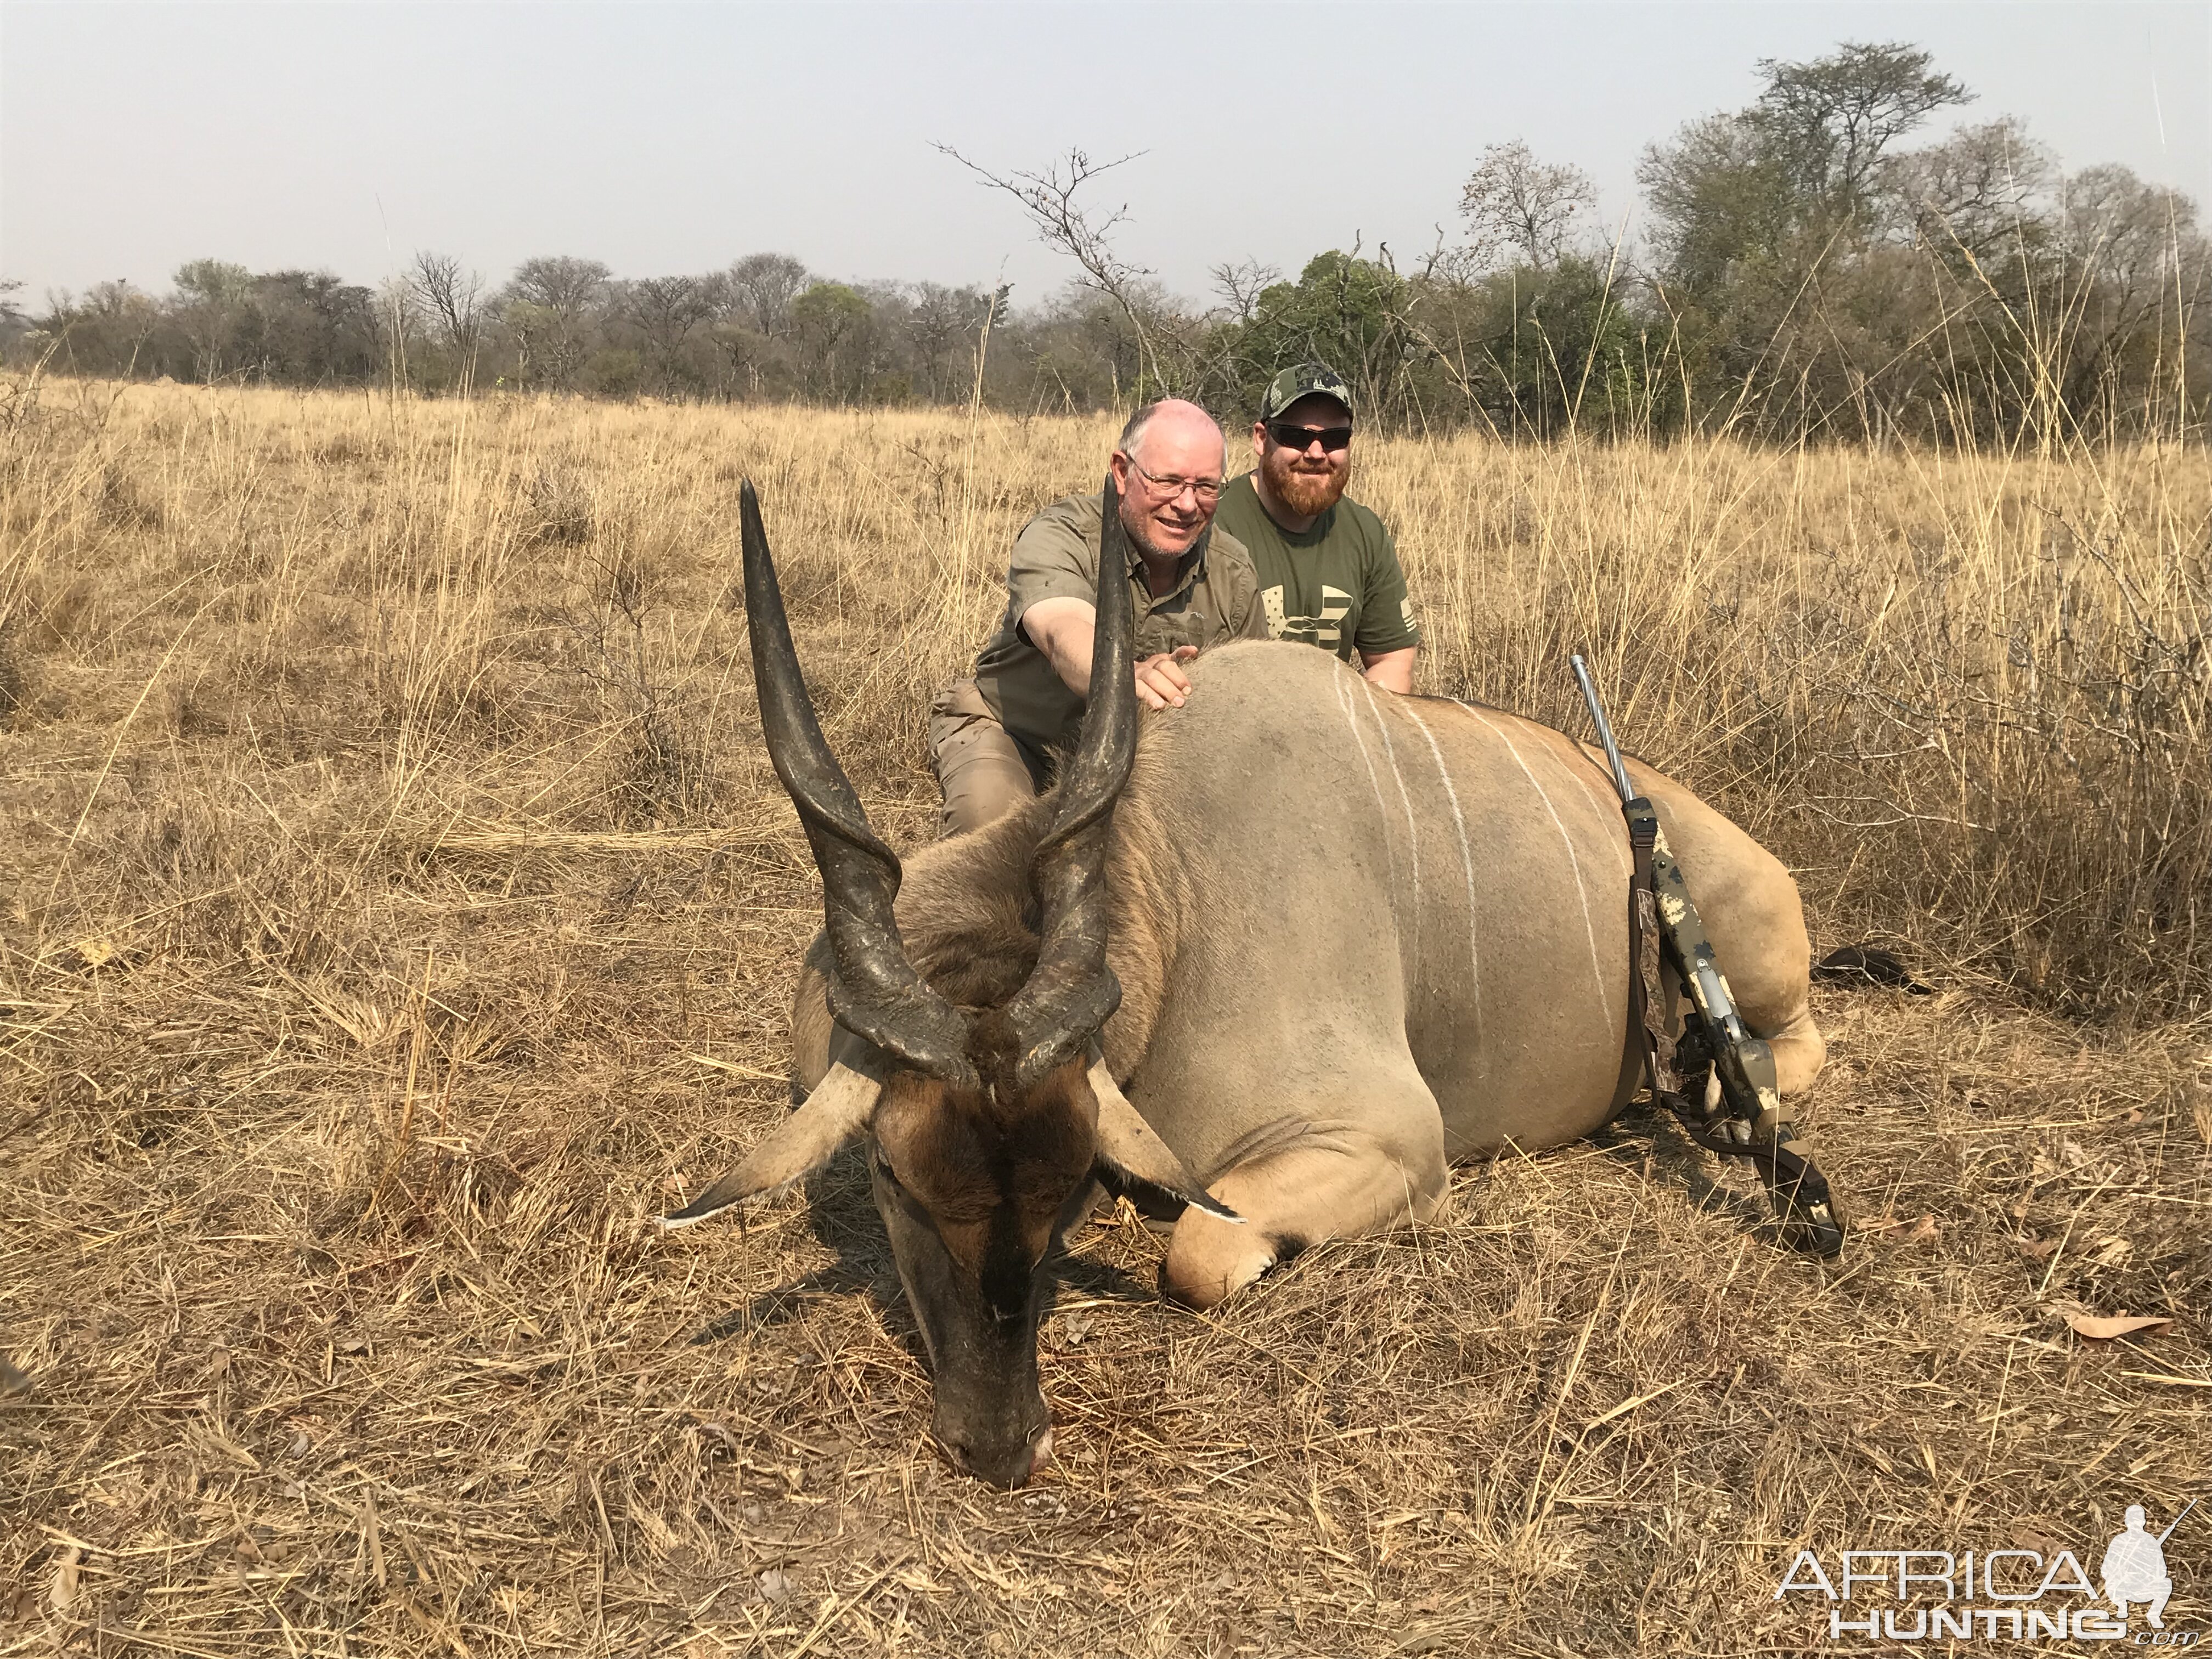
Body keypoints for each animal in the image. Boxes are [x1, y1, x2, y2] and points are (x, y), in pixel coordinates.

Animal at [659, 479, 1831, 1495]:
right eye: (893, 1174)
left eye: (1064, 1176)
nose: (1002, 1443)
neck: (1174, 879)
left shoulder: (1387, 1137)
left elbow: (1200, 1248)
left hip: (1757, 945)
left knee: (1796, 1038)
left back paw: (1725, 1088)